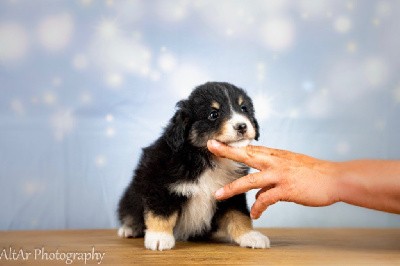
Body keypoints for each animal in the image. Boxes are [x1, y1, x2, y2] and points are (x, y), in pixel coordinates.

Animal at [117, 81, 270, 249]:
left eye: (244, 108)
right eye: (213, 114)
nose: (242, 126)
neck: (207, 158)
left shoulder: (230, 193)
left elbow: (239, 215)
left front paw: (250, 236)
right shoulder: (160, 186)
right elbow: (161, 213)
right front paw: (159, 237)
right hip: (131, 195)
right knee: (129, 212)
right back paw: (129, 229)